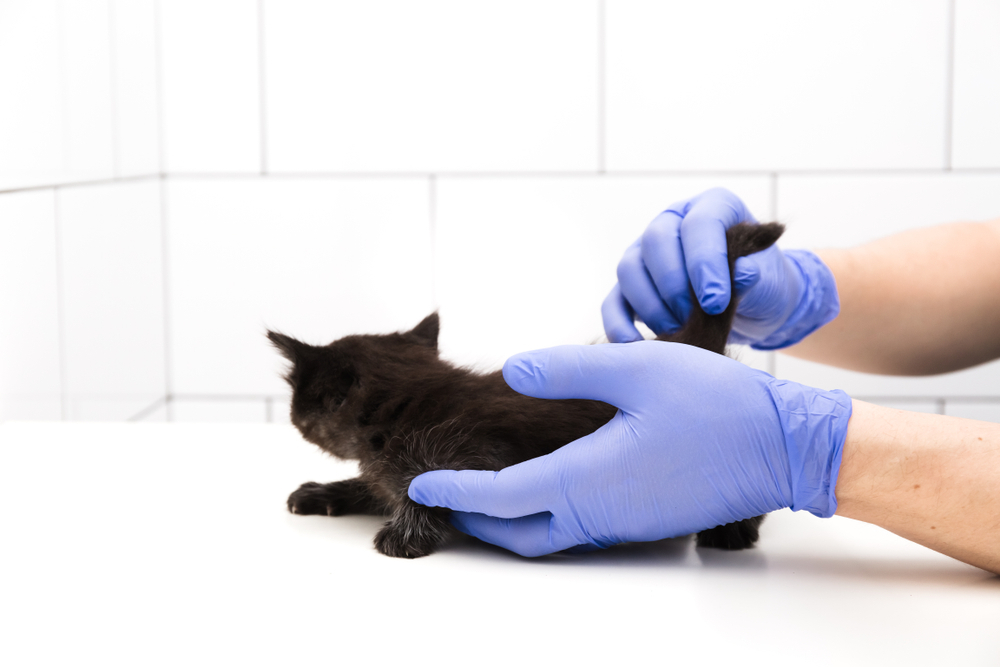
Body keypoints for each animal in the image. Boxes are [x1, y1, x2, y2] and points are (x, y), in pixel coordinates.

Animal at [270, 220, 784, 560]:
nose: (292, 416)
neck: (403, 408)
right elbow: (374, 484)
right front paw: (323, 492)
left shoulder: (464, 454)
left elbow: (425, 492)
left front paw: (403, 535)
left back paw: (732, 531)